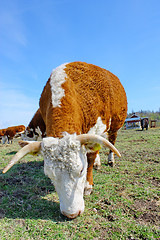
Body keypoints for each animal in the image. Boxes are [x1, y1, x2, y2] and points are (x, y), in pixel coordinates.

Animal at [2, 61, 127, 218]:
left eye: (81, 170)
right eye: (49, 175)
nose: (71, 214)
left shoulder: (97, 128)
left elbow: (90, 158)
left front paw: (88, 185)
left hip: (114, 125)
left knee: (110, 142)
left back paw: (110, 161)